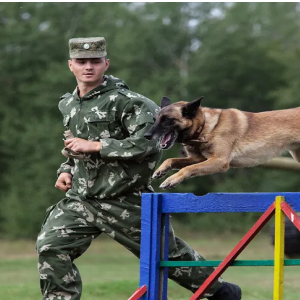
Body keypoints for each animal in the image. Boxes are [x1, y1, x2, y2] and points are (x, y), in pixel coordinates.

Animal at [144, 96, 300, 189]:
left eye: (167, 119)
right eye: (155, 119)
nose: (147, 135)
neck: (205, 127)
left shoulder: (219, 161)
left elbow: (187, 168)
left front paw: (171, 180)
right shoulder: (200, 158)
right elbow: (172, 160)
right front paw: (160, 170)